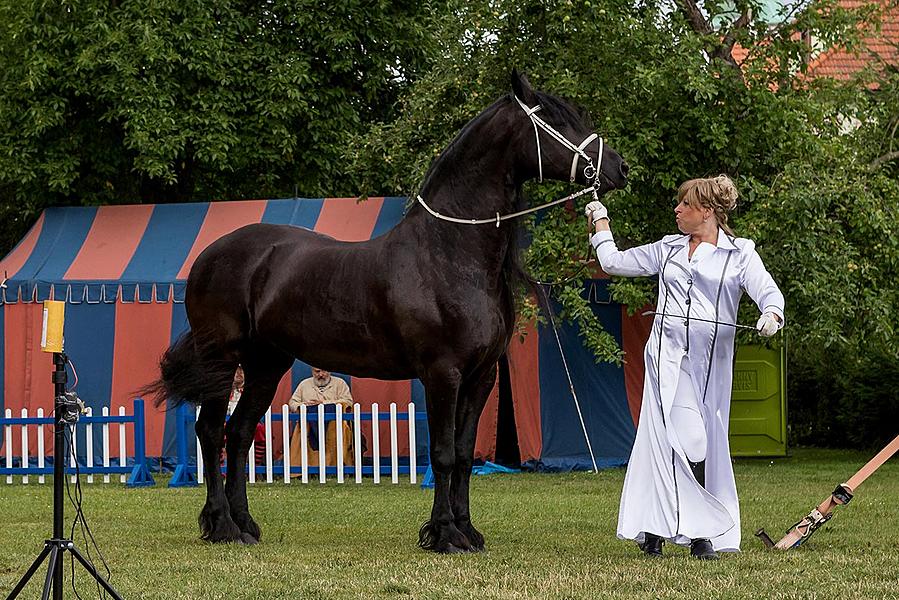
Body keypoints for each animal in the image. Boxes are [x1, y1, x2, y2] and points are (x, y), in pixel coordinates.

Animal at [149, 71, 624, 552]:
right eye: (557, 122)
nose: (618, 168)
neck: (449, 253)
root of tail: (208, 255)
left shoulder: (481, 377)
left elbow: (465, 454)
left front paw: (467, 530)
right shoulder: (443, 373)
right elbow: (443, 454)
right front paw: (444, 534)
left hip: (265, 364)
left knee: (240, 433)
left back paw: (244, 525)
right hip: (222, 360)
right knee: (211, 432)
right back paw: (221, 525)